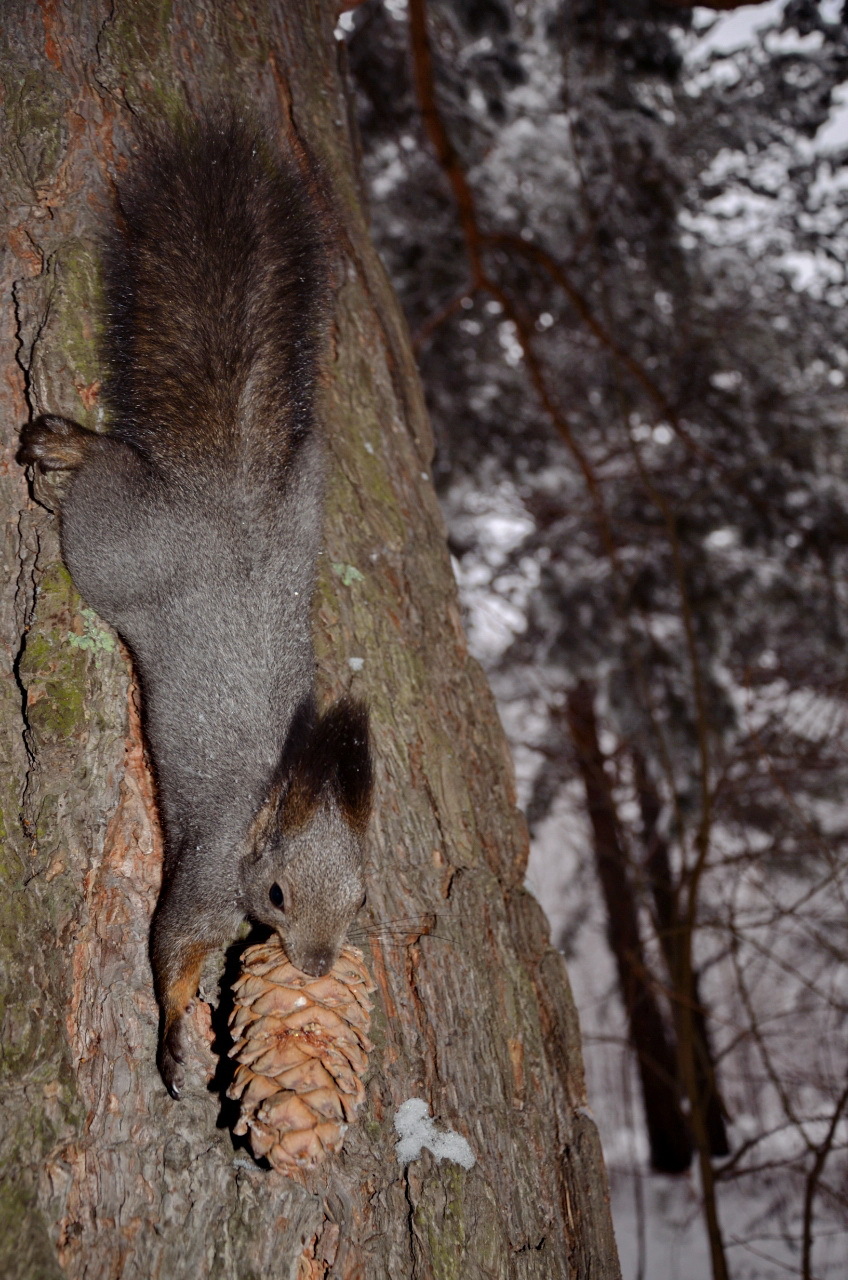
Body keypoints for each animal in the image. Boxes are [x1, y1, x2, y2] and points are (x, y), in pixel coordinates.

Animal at [16, 117, 371, 1100]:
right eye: (279, 895)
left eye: (362, 897)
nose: (318, 967)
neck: (269, 809)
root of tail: (223, 499)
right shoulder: (210, 873)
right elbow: (171, 944)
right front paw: (176, 1036)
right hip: (114, 547)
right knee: (103, 478)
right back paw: (70, 446)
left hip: (304, 498)